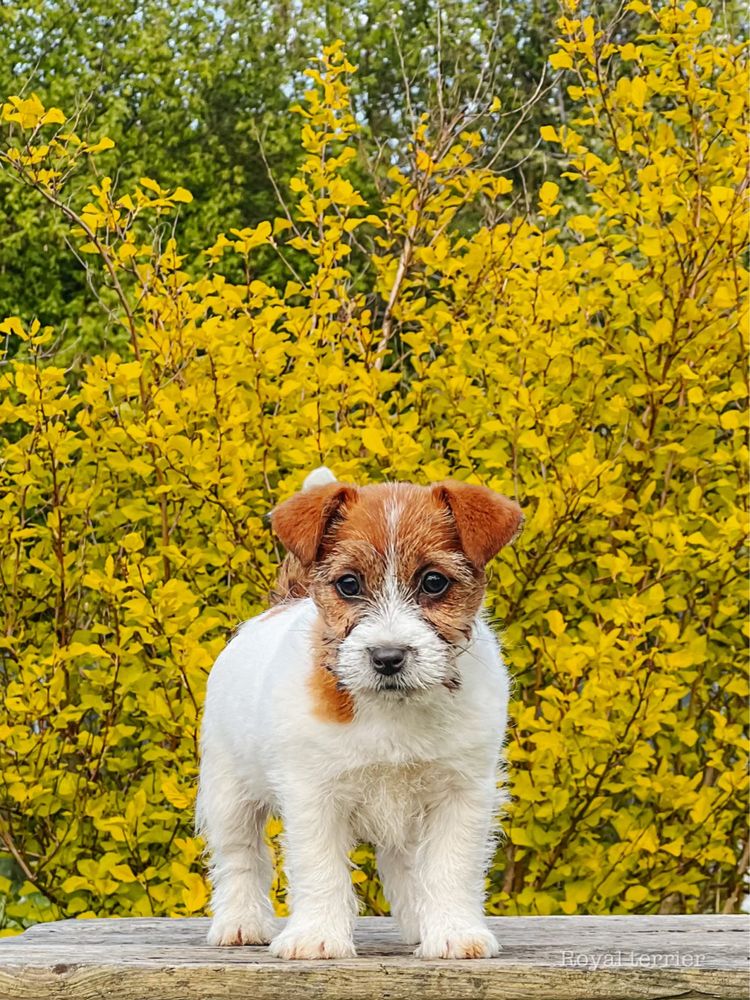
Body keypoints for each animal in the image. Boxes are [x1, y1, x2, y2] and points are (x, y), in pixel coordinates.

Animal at [198, 468, 524, 960]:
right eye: (349, 585)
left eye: (433, 582)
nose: (388, 657)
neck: (391, 709)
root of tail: (285, 601)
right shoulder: (313, 795)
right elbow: (320, 869)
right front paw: (316, 937)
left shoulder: (460, 793)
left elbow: (449, 866)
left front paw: (453, 933)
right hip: (229, 791)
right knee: (240, 857)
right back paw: (241, 923)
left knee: (405, 865)